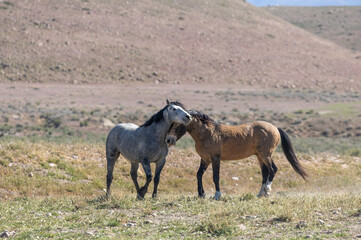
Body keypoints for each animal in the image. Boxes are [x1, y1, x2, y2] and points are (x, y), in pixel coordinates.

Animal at [166, 109, 306, 200]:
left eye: (177, 124)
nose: (168, 140)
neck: (208, 132)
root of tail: (275, 128)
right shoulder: (205, 159)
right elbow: (199, 174)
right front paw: (201, 194)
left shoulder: (215, 159)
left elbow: (215, 177)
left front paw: (217, 195)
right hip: (260, 156)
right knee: (265, 173)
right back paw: (260, 194)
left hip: (265, 155)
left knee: (273, 169)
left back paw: (267, 191)